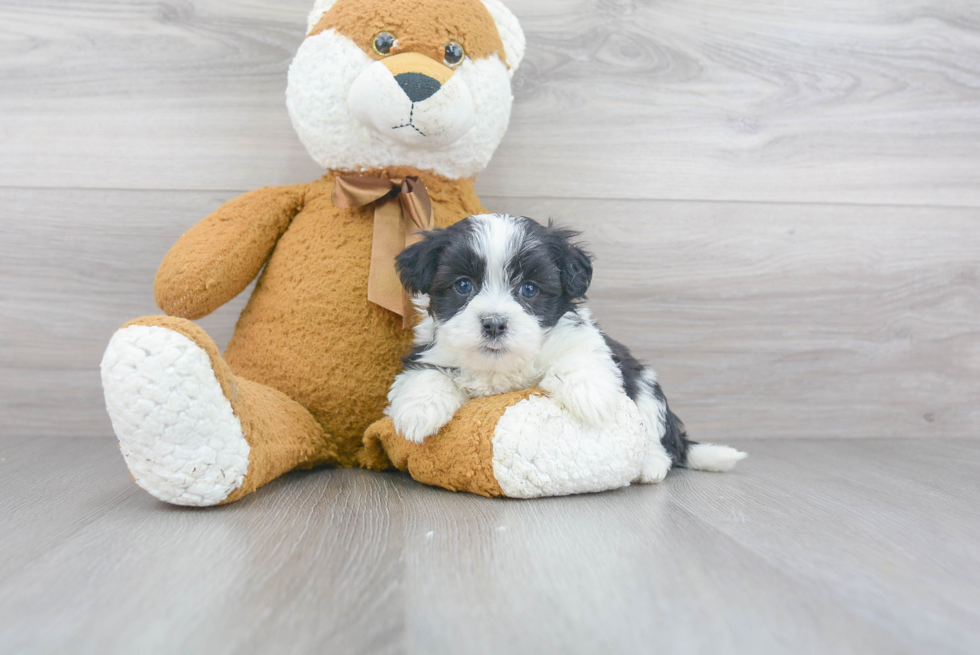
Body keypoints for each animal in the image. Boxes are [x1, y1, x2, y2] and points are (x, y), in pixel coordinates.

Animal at [386, 214, 748, 482]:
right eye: (463, 285)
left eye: (529, 289)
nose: (494, 323)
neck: (502, 367)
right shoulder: (429, 349)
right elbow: (426, 372)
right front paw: (418, 411)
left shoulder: (581, 338)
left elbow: (580, 356)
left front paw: (591, 397)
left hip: (645, 382)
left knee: (656, 433)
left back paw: (650, 464)